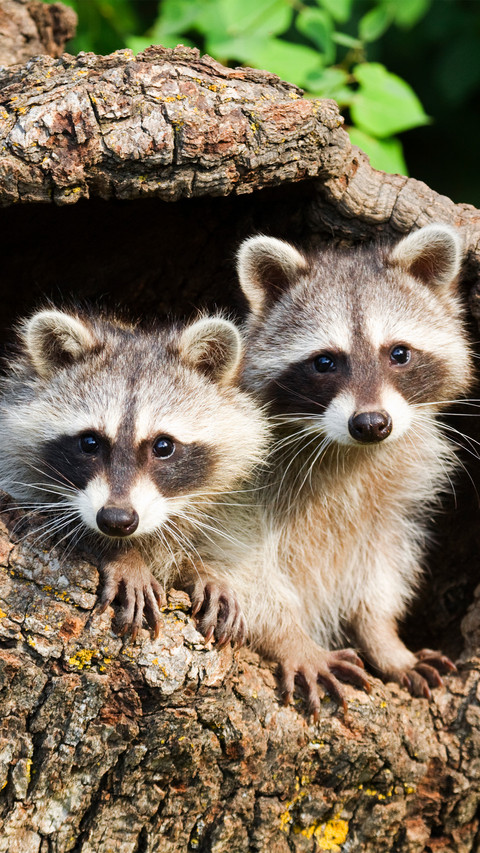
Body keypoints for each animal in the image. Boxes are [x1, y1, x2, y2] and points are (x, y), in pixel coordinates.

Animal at [230, 224, 473, 711]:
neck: (349, 453)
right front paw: (291, 638)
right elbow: (240, 571)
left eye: (398, 353)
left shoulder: (391, 498)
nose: (371, 424)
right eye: (325, 361)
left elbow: (378, 570)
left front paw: (385, 640)